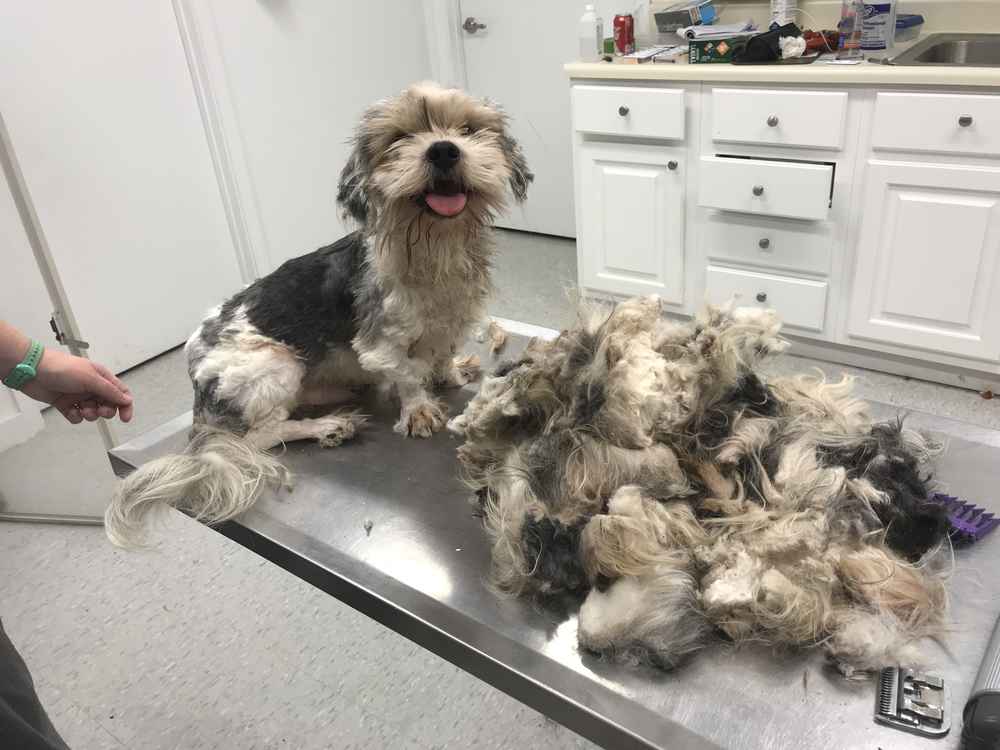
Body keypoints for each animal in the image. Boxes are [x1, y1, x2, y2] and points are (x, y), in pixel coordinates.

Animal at [103, 81, 532, 548]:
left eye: (468, 129)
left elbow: (441, 354)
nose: (443, 150)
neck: (437, 248)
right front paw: (419, 409)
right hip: (275, 365)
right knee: (260, 436)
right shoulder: (381, 343)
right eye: (399, 137)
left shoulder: (453, 320)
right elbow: (406, 373)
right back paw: (328, 427)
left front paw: (451, 373)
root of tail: (196, 377)